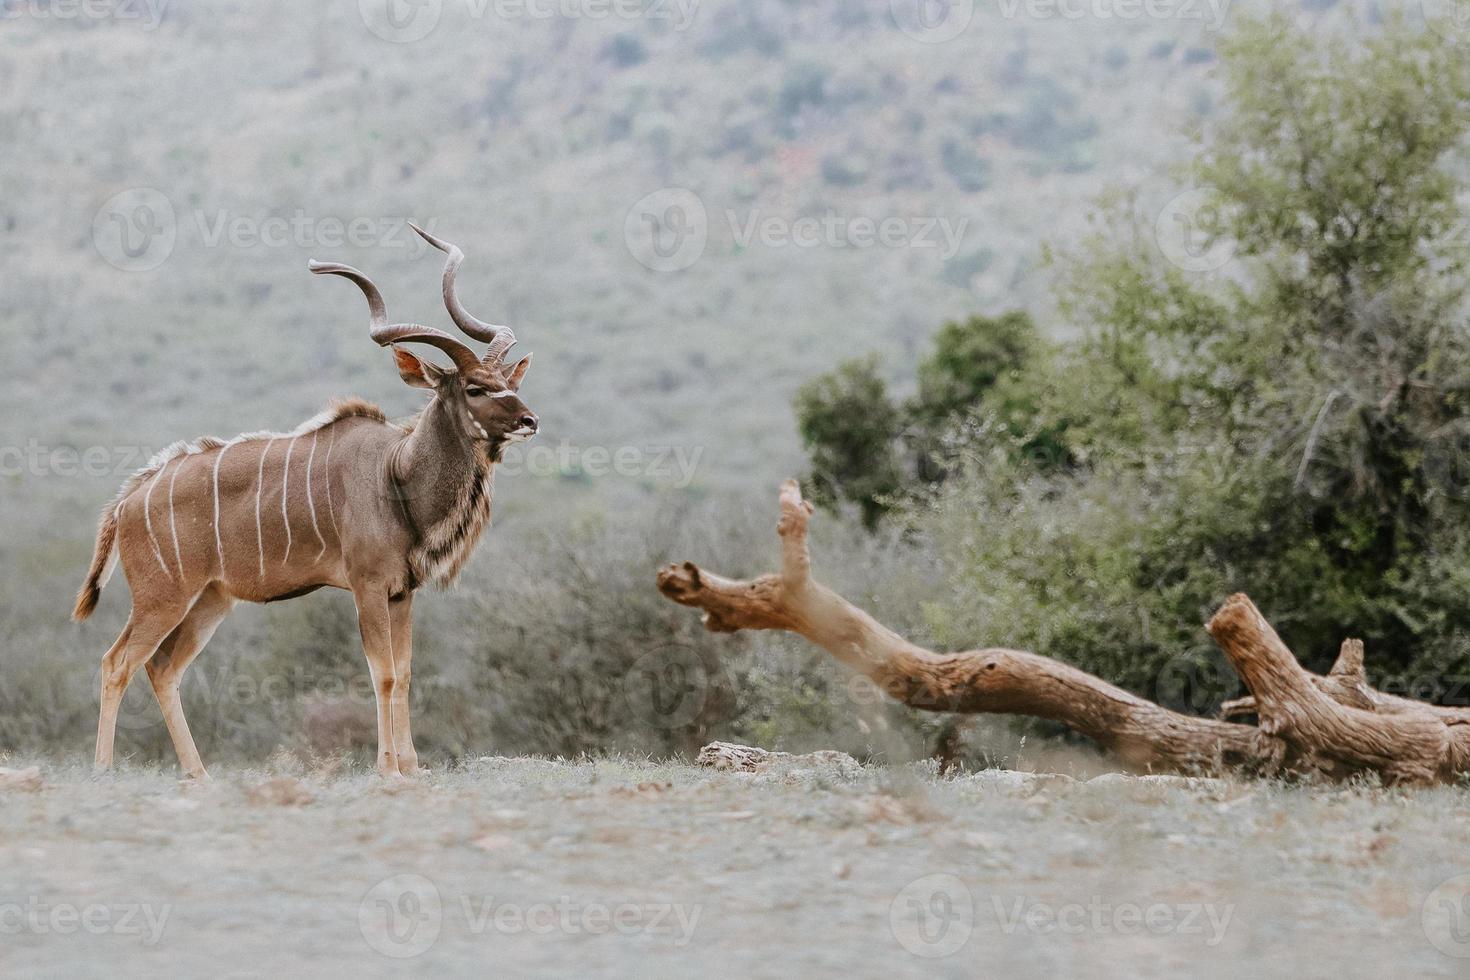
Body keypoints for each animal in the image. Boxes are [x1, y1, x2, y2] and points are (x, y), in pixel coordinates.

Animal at [71, 226, 538, 775]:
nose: (530, 420)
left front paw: (412, 768)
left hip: (210, 599)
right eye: (474, 388)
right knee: (117, 662)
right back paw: (104, 770)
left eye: (509, 382)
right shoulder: (368, 586)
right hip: (161, 597)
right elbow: (381, 672)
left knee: (163, 668)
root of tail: (128, 499)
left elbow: (403, 673)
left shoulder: (402, 593)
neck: (397, 473)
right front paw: (388, 769)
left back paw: (199, 776)